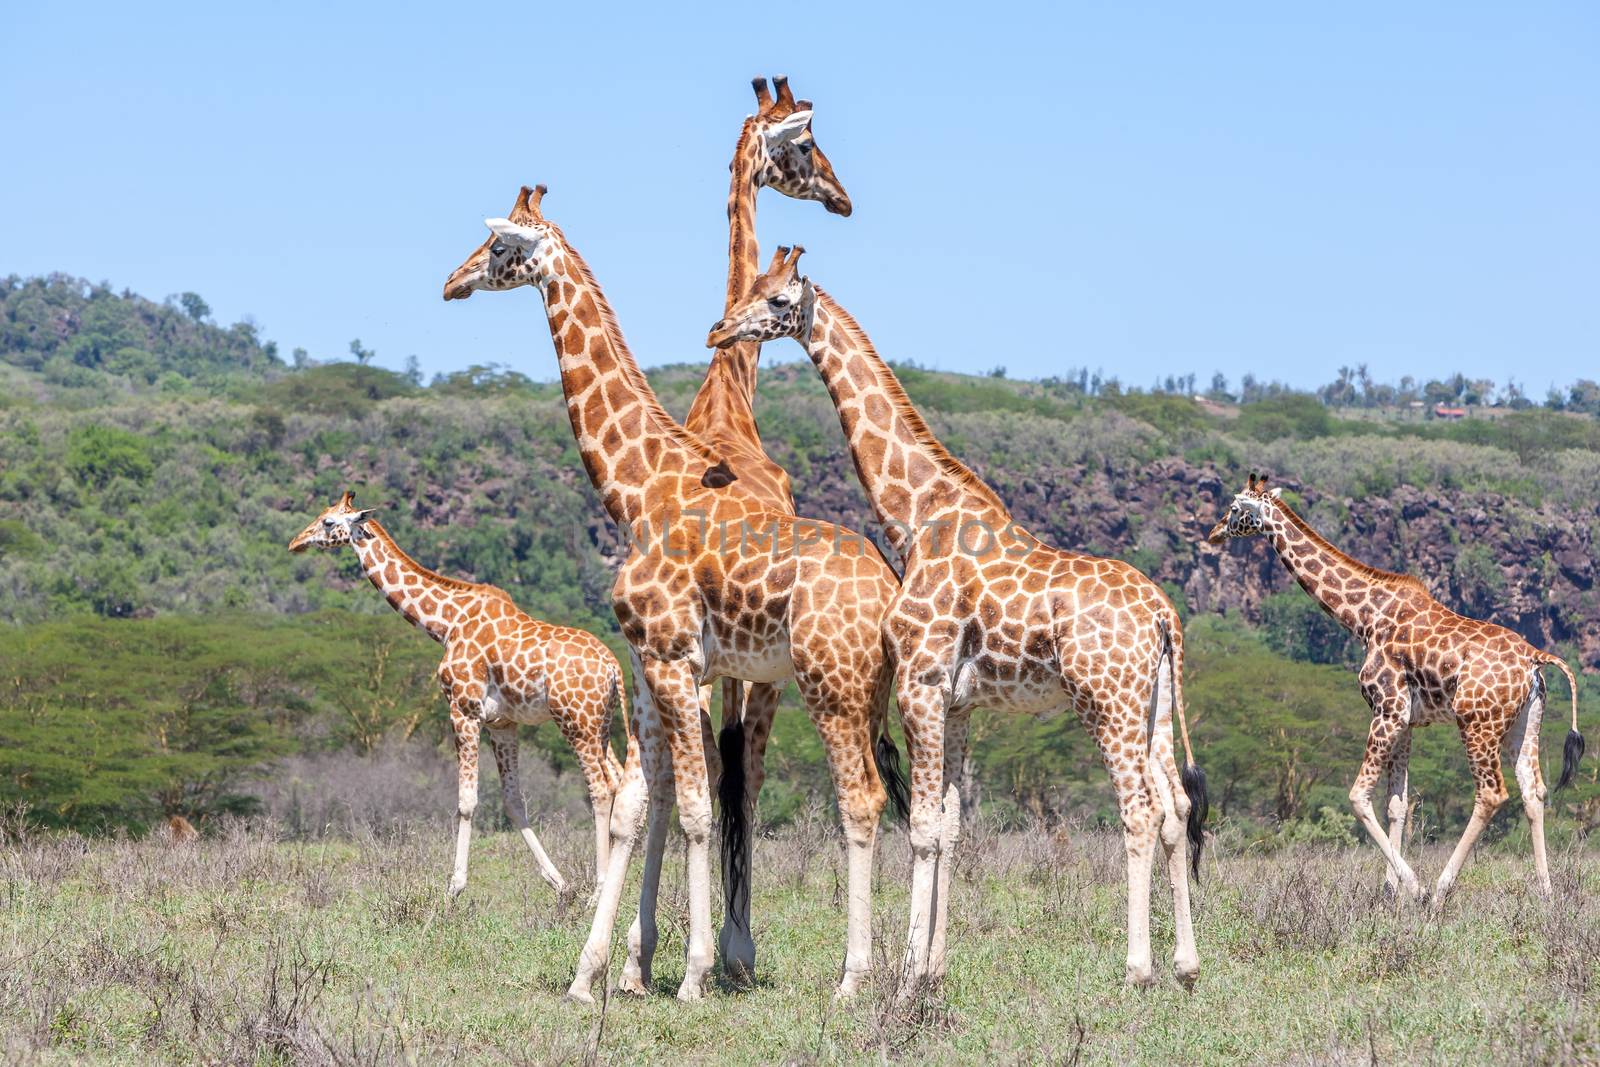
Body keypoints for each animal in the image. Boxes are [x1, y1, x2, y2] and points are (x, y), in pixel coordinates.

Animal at [288, 492, 624, 902]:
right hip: (601, 723)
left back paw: (601, 890)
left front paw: (454, 887)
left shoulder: (462, 708)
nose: (295, 543)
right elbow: (513, 801)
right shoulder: (502, 723)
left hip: (576, 721)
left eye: (328, 522)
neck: (444, 623)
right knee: (621, 782)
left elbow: (467, 800)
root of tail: (613, 666)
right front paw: (558, 882)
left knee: (601, 788)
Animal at [444, 185, 908, 1004]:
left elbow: (692, 806)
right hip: (863, 689)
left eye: (499, 247)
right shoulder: (646, 664)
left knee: (858, 800)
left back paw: (852, 979)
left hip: (830, 684)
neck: (637, 490)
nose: (451, 282)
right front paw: (592, 973)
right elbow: (635, 803)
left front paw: (690, 972)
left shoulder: (673, 657)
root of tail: (888, 589)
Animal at [707, 246, 1203, 991]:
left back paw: (1136, 969)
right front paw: (933, 965)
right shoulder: (958, 702)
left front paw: (908, 971)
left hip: (1105, 699)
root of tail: (1165, 616)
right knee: (1175, 808)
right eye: (752, 288)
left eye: (776, 301)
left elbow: (920, 827)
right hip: (1154, 706)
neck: (918, 515)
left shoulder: (919, 681)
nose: (717, 330)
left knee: (1139, 810)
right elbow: (949, 826)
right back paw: (1187, 964)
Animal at [1203, 476, 1580, 902]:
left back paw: (1440, 888)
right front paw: (1390, 890)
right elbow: (1397, 803)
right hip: (1523, 722)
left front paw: (1412, 885)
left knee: (1492, 793)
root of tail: (1534, 657)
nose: (1214, 533)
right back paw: (1546, 892)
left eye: (1235, 508)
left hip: (1477, 723)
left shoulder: (1386, 709)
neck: (1364, 617)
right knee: (1534, 791)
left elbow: (1357, 796)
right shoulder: (1406, 720)